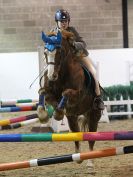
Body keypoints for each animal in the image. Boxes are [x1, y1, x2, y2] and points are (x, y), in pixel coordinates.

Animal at [37, 29, 102, 168]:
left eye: (59, 52)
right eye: (45, 52)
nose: (51, 76)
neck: (61, 74)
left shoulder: (78, 95)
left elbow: (66, 93)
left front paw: (58, 113)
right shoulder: (49, 93)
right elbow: (43, 92)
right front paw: (43, 115)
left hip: (94, 116)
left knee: (91, 139)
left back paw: (89, 161)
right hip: (72, 118)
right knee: (76, 135)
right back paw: (78, 157)